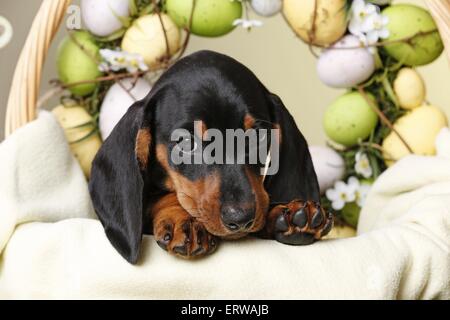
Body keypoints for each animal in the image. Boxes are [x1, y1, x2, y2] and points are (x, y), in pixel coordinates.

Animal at [89, 49, 334, 262]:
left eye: (258, 136)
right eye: (187, 143)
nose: (240, 219)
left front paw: (291, 215)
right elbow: (161, 197)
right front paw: (184, 220)